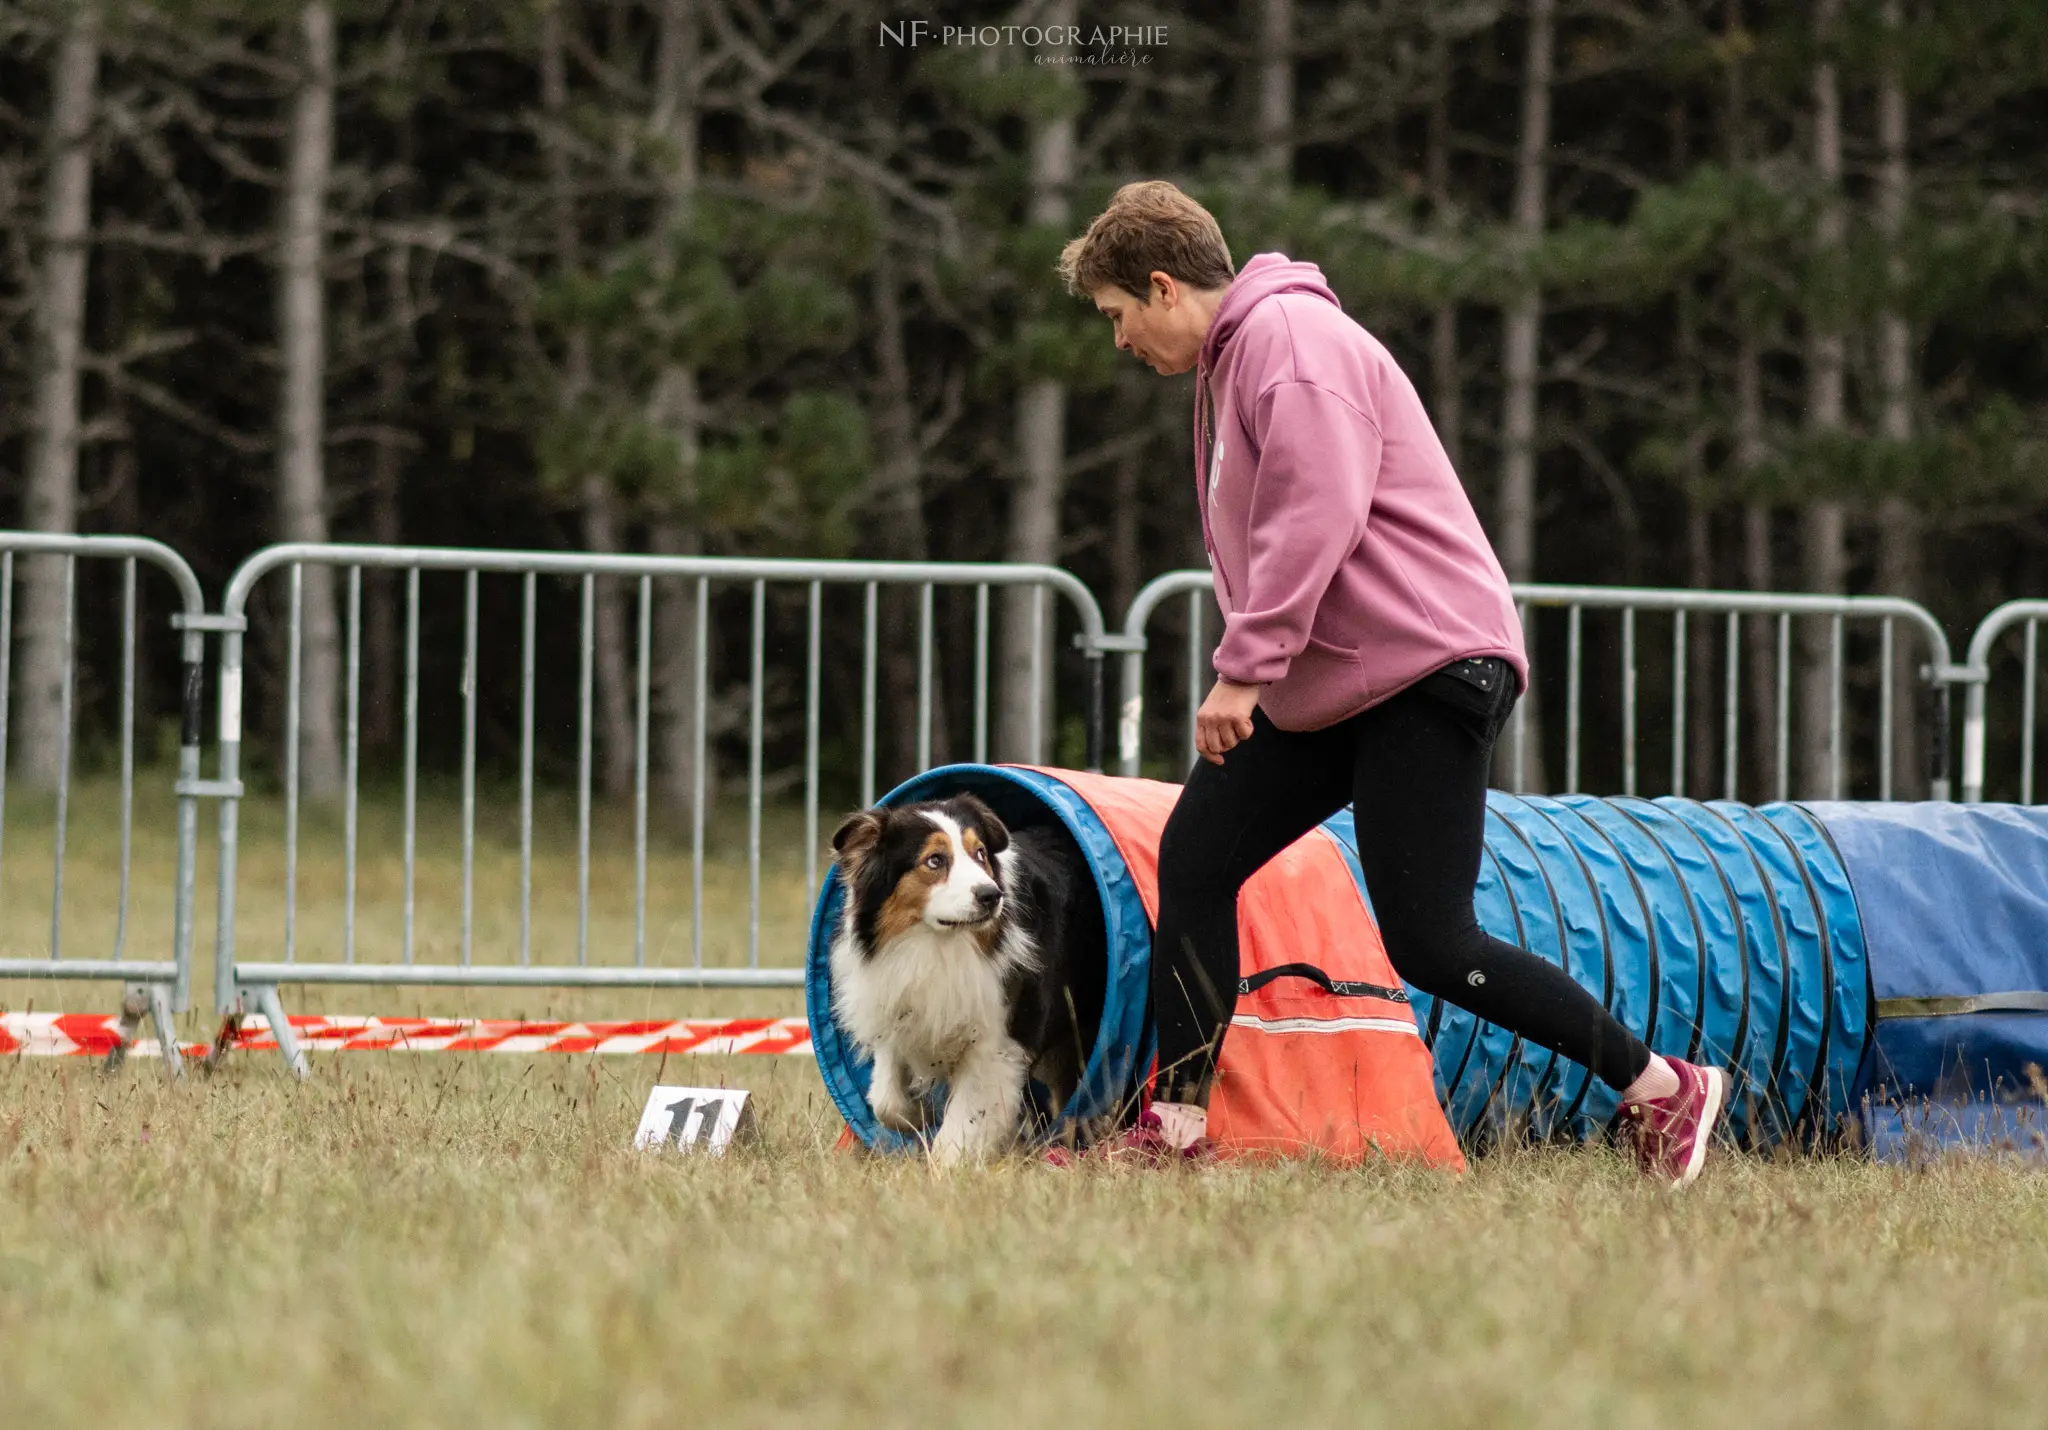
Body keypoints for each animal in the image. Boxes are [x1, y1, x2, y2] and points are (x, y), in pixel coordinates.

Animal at [827, 790, 1105, 1155]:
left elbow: (965, 1120)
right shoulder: (896, 1002)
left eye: (980, 854)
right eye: (934, 860)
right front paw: (919, 1115)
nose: (991, 895)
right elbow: (886, 1100)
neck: (938, 945)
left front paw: (947, 1162)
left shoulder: (998, 1041)